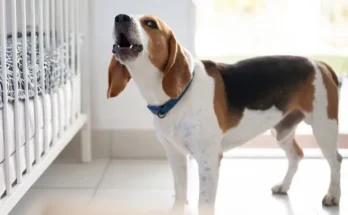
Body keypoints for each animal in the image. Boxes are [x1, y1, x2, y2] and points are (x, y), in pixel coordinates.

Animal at [106, 13, 342, 213]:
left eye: (151, 24)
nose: (120, 17)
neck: (174, 98)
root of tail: (319, 63)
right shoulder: (175, 155)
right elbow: (180, 194)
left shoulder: (208, 159)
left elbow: (204, 203)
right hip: (282, 130)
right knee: (297, 154)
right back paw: (284, 185)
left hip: (324, 128)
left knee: (336, 160)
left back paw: (333, 195)